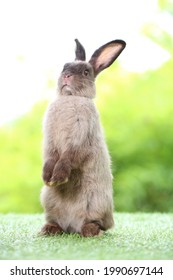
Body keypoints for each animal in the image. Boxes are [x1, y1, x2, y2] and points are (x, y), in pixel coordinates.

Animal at [39, 38, 125, 237]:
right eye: (64, 67)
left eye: (86, 72)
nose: (67, 76)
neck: (70, 98)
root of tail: (72, 226)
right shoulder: (50, 142)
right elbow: (50, 158)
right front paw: (47, 178)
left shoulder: (79, 139)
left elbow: (68, 157)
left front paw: (58, 178)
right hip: (48, 200)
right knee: (57, 223)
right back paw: (48, 230)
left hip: (96, 203)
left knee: (98, 224)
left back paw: (91, 231)